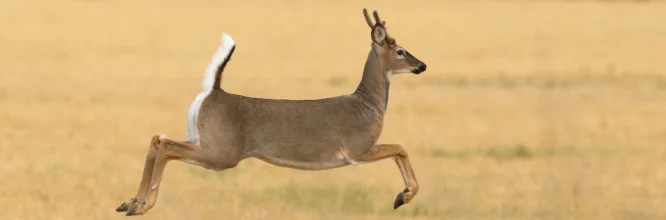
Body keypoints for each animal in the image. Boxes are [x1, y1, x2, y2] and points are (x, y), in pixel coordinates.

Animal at [114, 8, 426, 215]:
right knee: (166, 145)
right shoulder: (357, 149)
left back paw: (130, 202)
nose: (421, 65)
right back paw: (143, 205)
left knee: (158, 139)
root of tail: (214, 90)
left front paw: (401, 197)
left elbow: (400, 151)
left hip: (203, 141)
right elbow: (401, 148)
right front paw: (403, 196)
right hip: (220, 153)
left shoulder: (361, 151)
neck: (367, 105)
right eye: (400, 50)